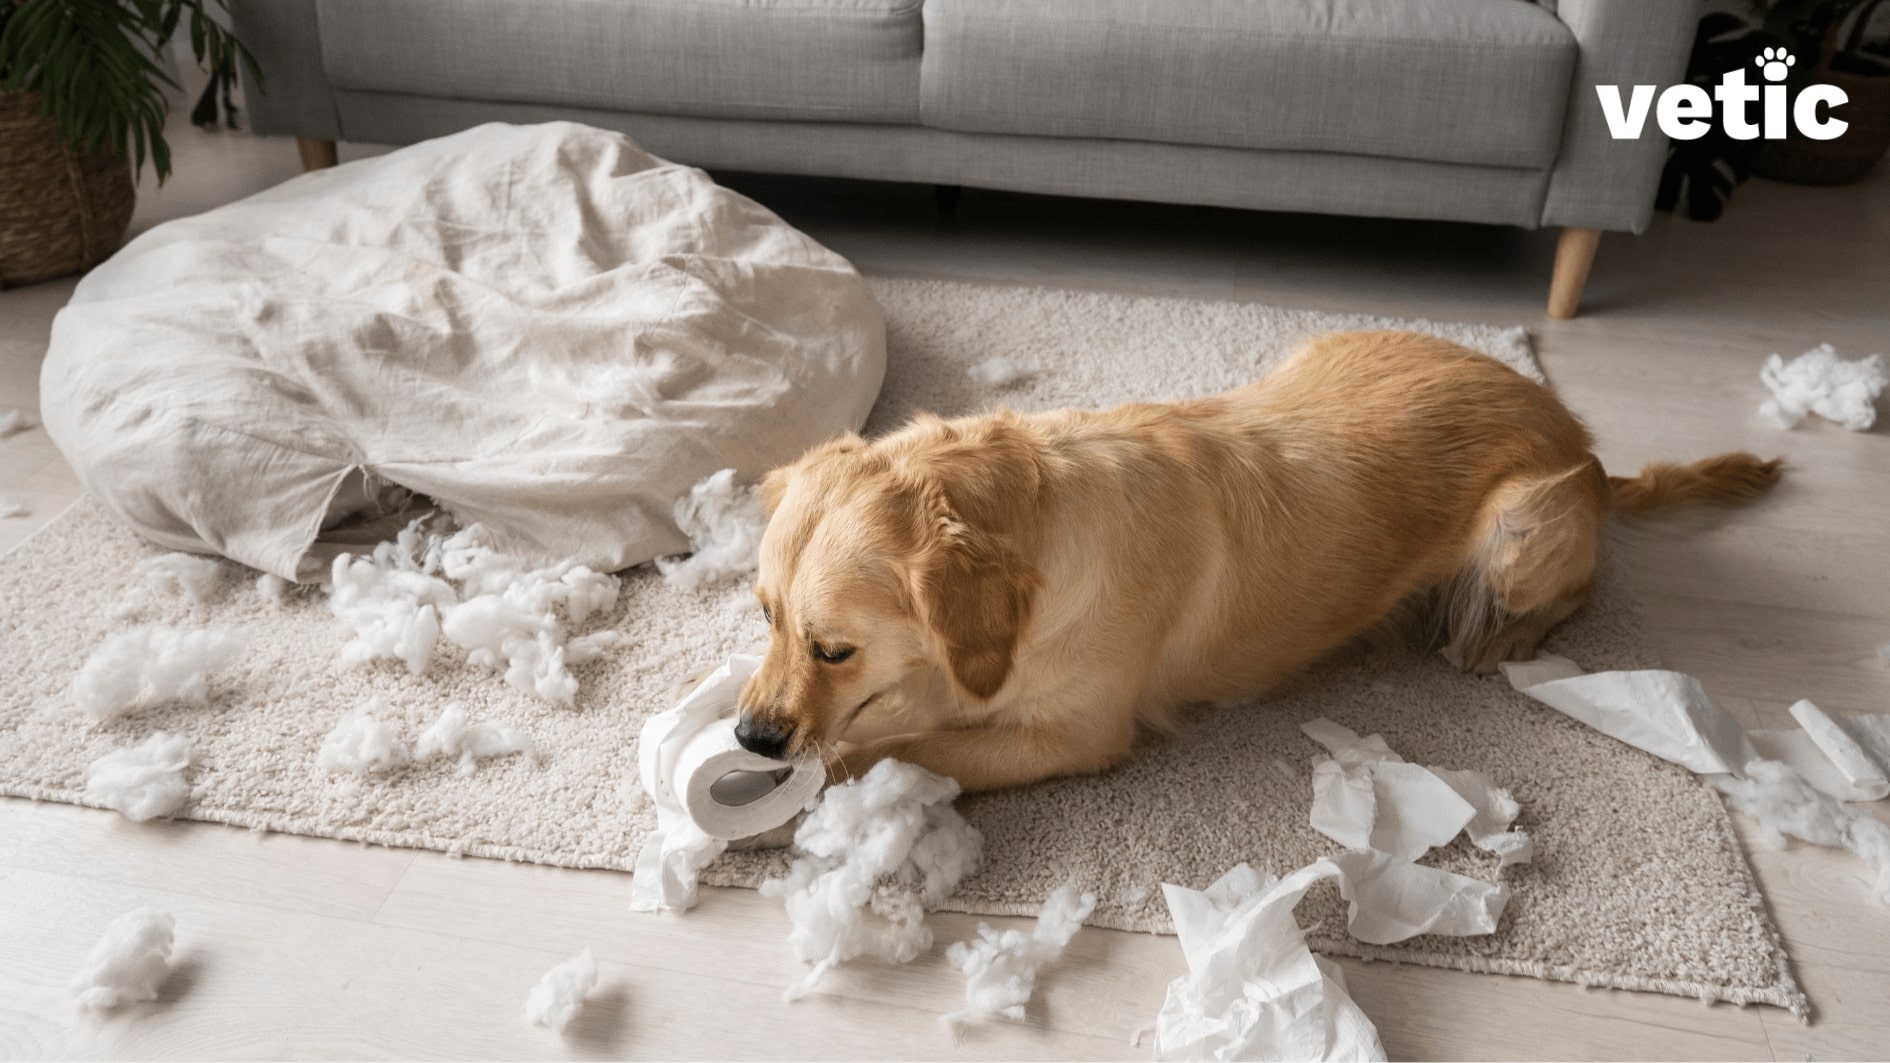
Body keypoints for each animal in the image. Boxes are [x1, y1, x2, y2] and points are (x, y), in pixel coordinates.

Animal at [729, 329, 1776, 786]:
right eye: (764, 615)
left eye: (834, 648)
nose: (750, 737)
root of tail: (1578, 435)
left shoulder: (1076, 735)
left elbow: (909, 743)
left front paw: (834, 771)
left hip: (1524, 530)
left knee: (1560, 593)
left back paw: (1494, 636)